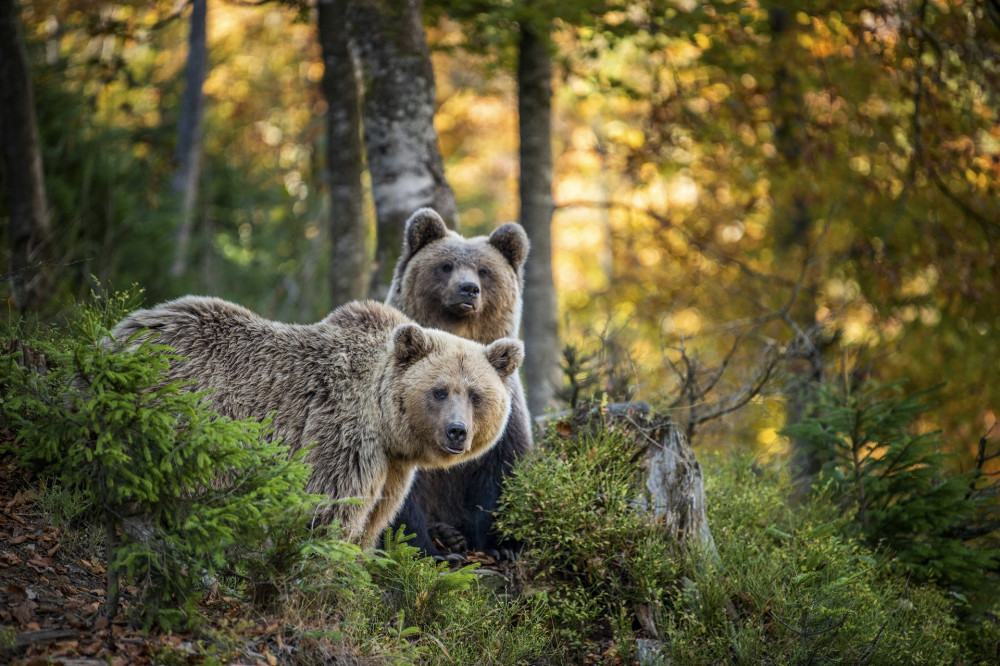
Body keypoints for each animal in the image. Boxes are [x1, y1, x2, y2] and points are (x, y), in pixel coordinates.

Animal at [386, 209, 536, 560]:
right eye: (446, 265)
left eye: (484, 270)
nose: (468, 289)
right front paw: (427, 550)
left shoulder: (506, 407)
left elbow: (502, 469)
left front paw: (502, 546)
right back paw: (447, 537)